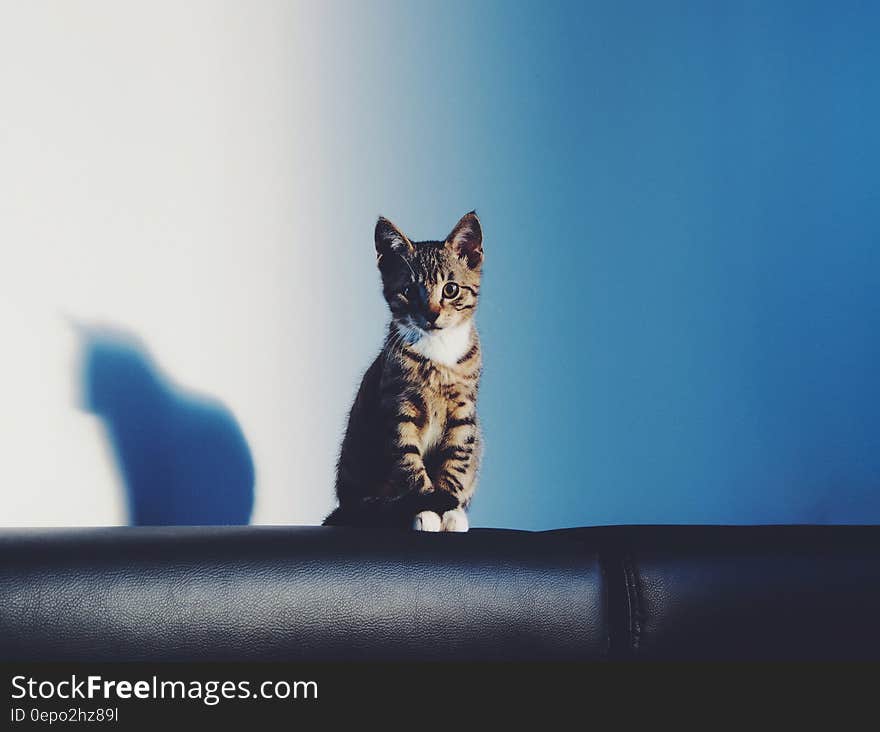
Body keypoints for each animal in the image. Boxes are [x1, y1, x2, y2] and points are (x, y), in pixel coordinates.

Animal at [324, 212, 484, 532]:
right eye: (409, 291)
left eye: (451, 289)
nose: (432, 314)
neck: (439, 353)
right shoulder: (397, 407)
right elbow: (408, 461)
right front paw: (426, 508)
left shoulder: (463, 411)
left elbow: (455, 460)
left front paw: (449, 508)